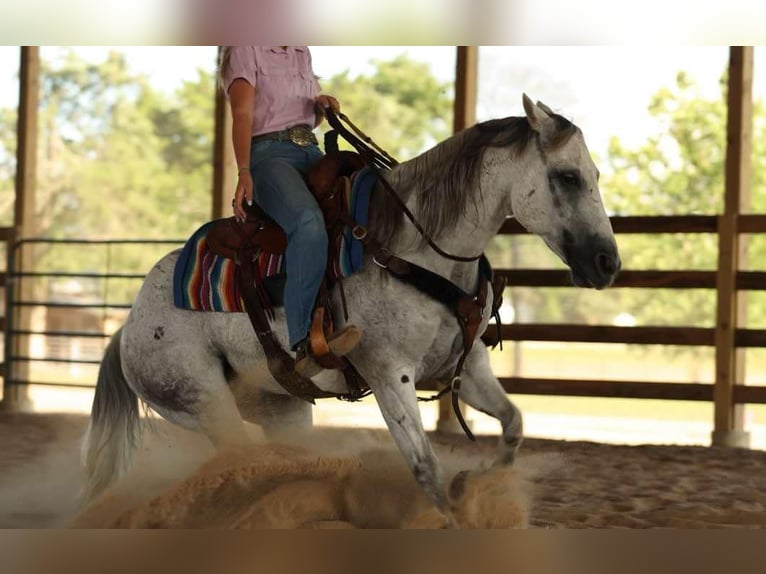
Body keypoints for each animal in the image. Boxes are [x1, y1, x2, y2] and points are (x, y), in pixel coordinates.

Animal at [82, 94, 621, 520]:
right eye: (568, 177)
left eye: (593, 174)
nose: (607, 262)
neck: (412, 248)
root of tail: (128, 328)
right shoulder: (389, 375)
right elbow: (424, 467)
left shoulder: (468, 369)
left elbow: (513, 426)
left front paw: (472, 483)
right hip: (203, 404)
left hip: (281, 407)